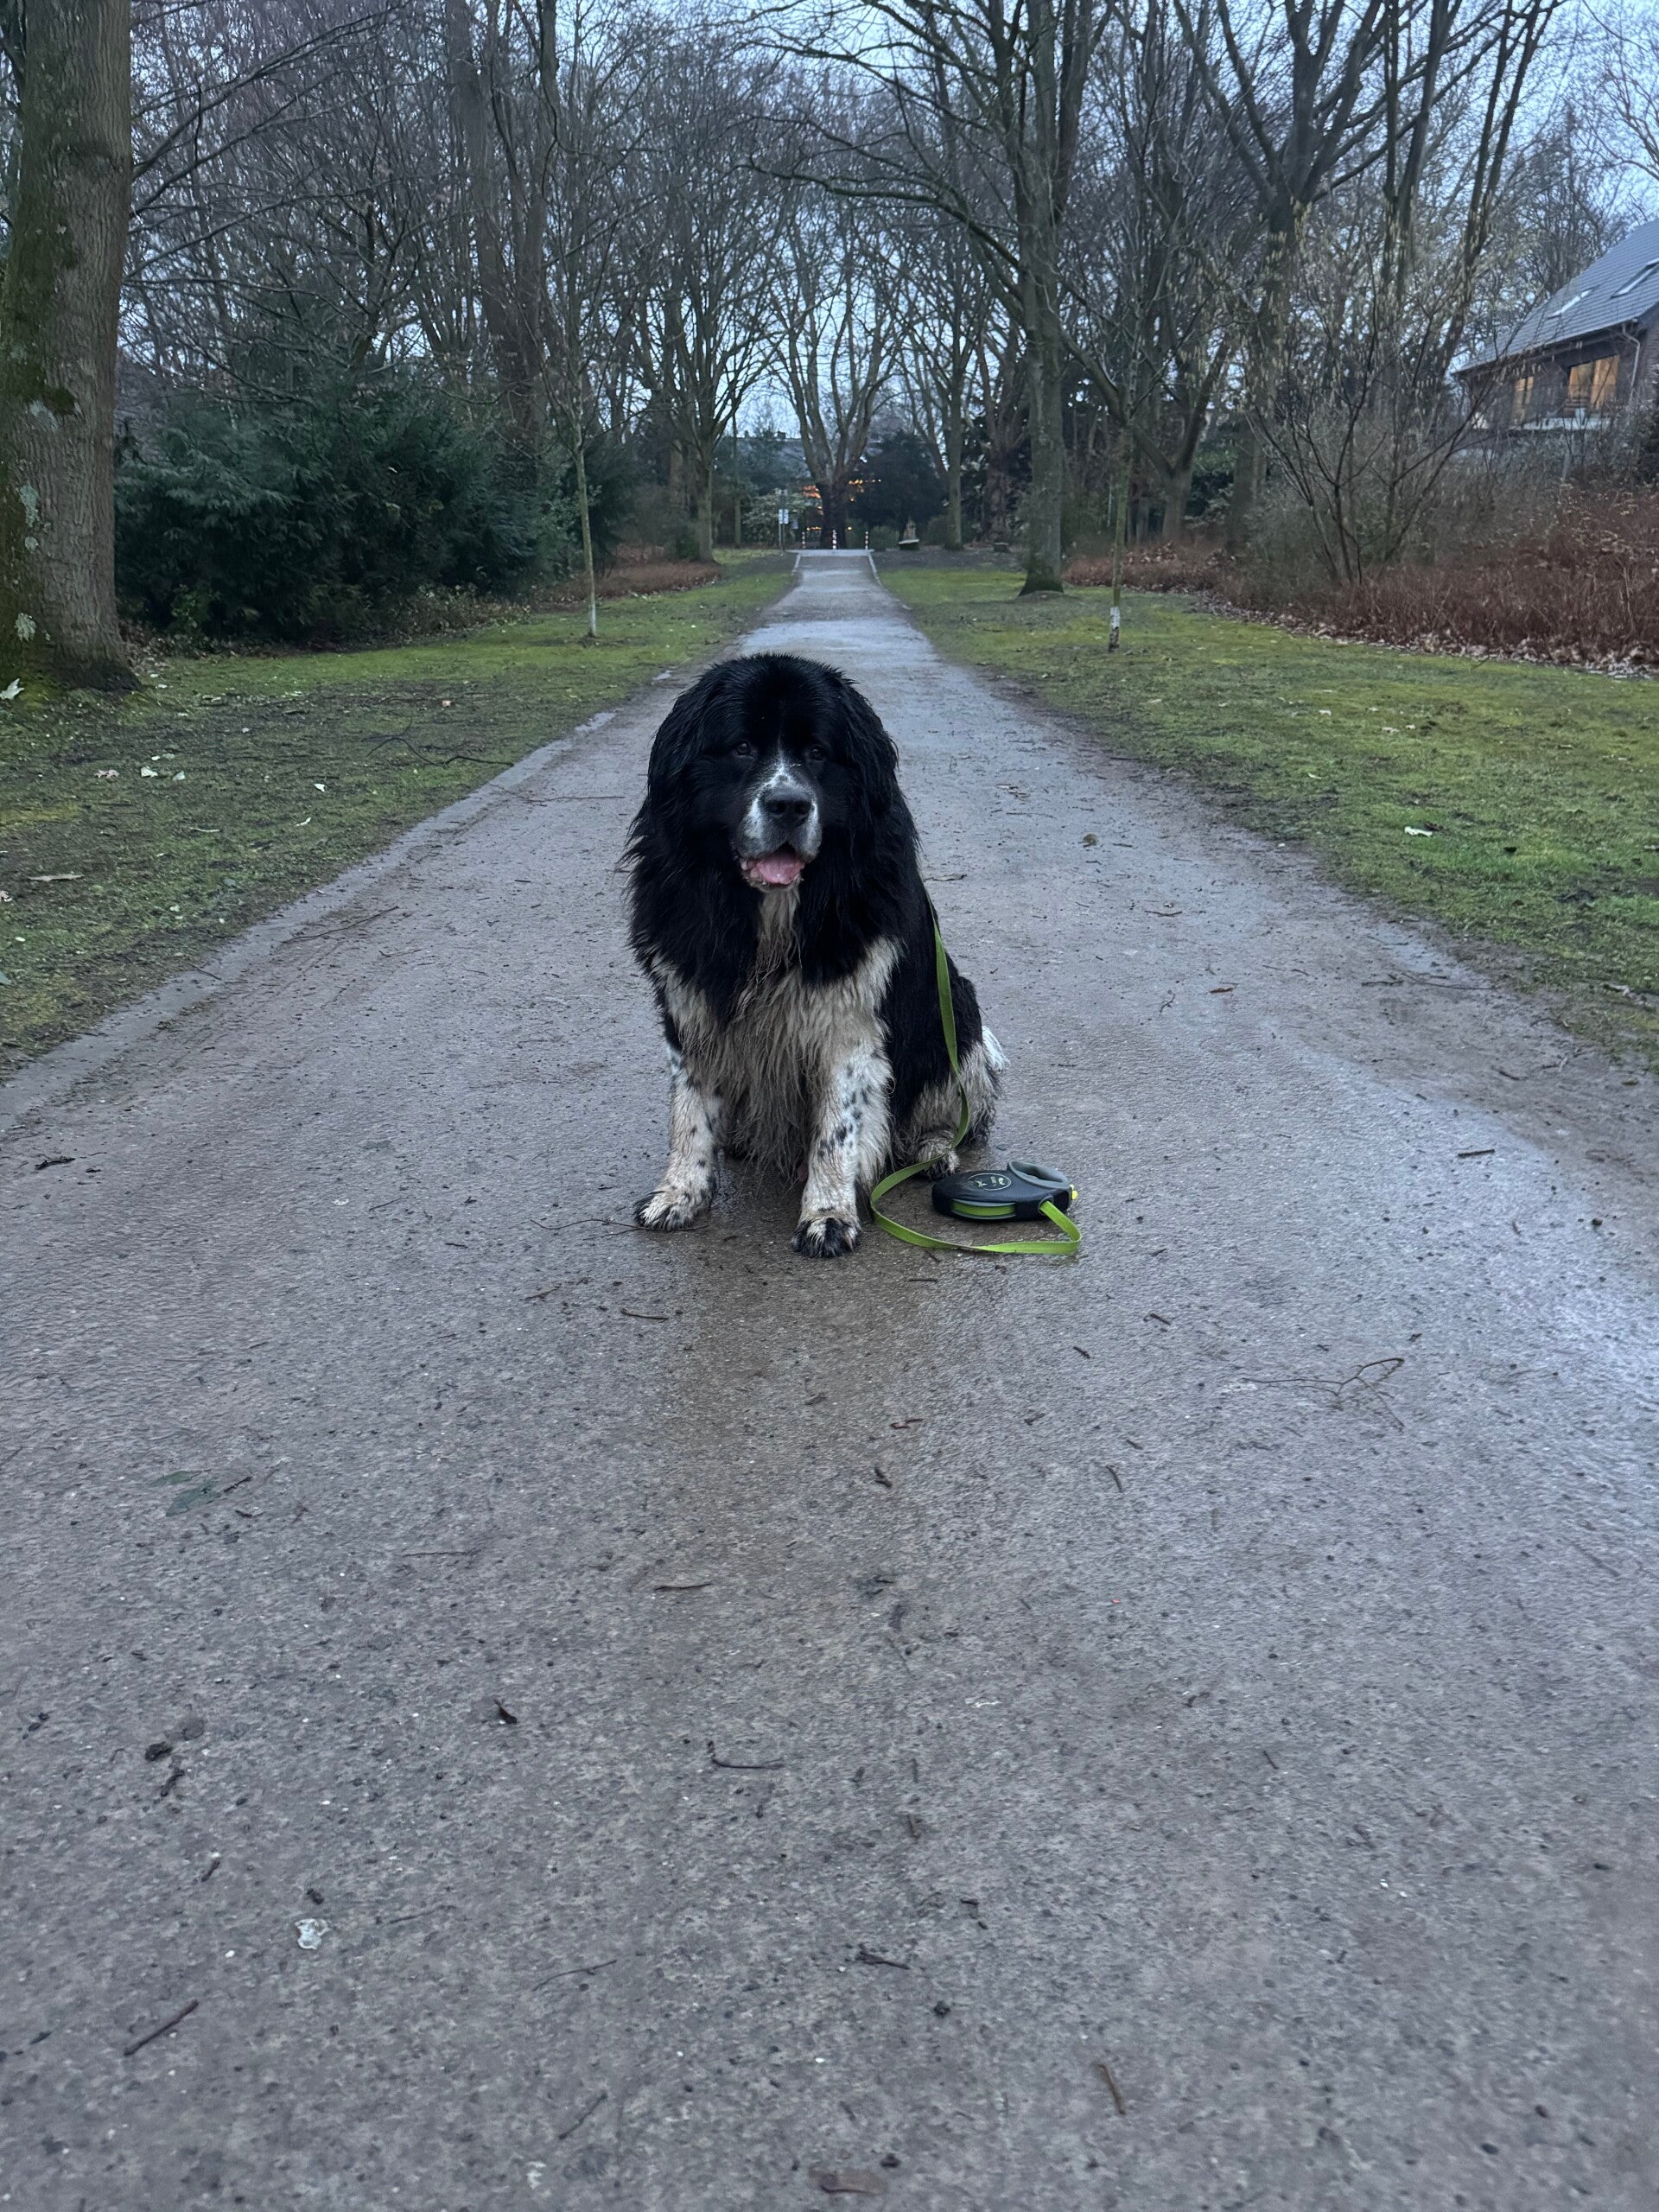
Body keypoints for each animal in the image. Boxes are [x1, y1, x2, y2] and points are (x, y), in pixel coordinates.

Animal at [627, 651, 1002, 1256]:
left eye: (819, 753)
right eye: (742, 747)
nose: (788, 804)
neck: (773, 916)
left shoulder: (850, 1023)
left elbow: (837, 1128)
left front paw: (827, 1213)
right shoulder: (692, 1001)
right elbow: (689, 1112)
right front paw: (679, 1192)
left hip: (960, 1014)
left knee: (951, 1107)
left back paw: (932, 1150)